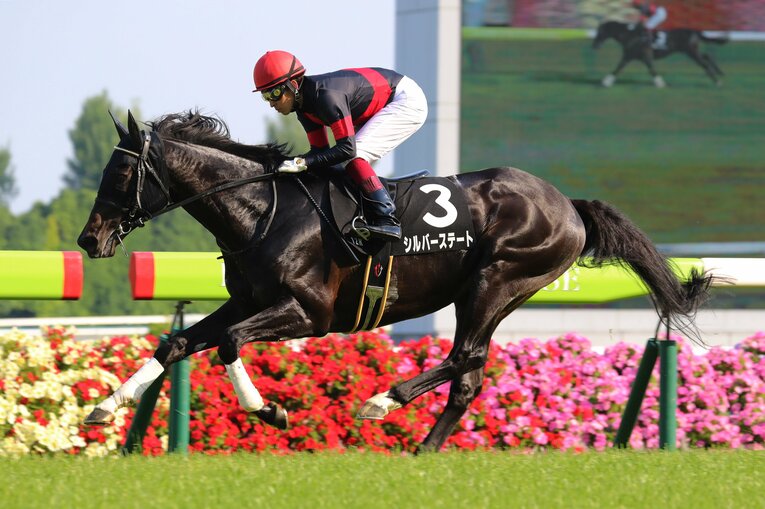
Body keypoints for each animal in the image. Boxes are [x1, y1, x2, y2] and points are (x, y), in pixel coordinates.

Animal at [77, 110, 713, 453]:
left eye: (123, 173)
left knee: (464, 357)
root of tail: (568, 205)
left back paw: (382, 402)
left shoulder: (307, 313)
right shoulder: (246, 301)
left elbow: (229, 344)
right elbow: (176, 343)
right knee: (468, 375)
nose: (88, 239)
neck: (263, 211)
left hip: (497, 279)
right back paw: (424, 449)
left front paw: (271, 412)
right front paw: (105, 409)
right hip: (490, 291)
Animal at [592, 21, 727, 87]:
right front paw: (606, 82)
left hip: (691, 52)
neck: (631, 35)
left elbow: (651, 68)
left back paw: (718, 82)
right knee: (707, 56)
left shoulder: (645, 55)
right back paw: (719, 73)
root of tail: (695, 31)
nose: (594, 45)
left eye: (599, 32)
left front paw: (660, 83)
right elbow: (618, 68)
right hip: (692, 51)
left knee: (704, 64)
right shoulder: (629, 55)